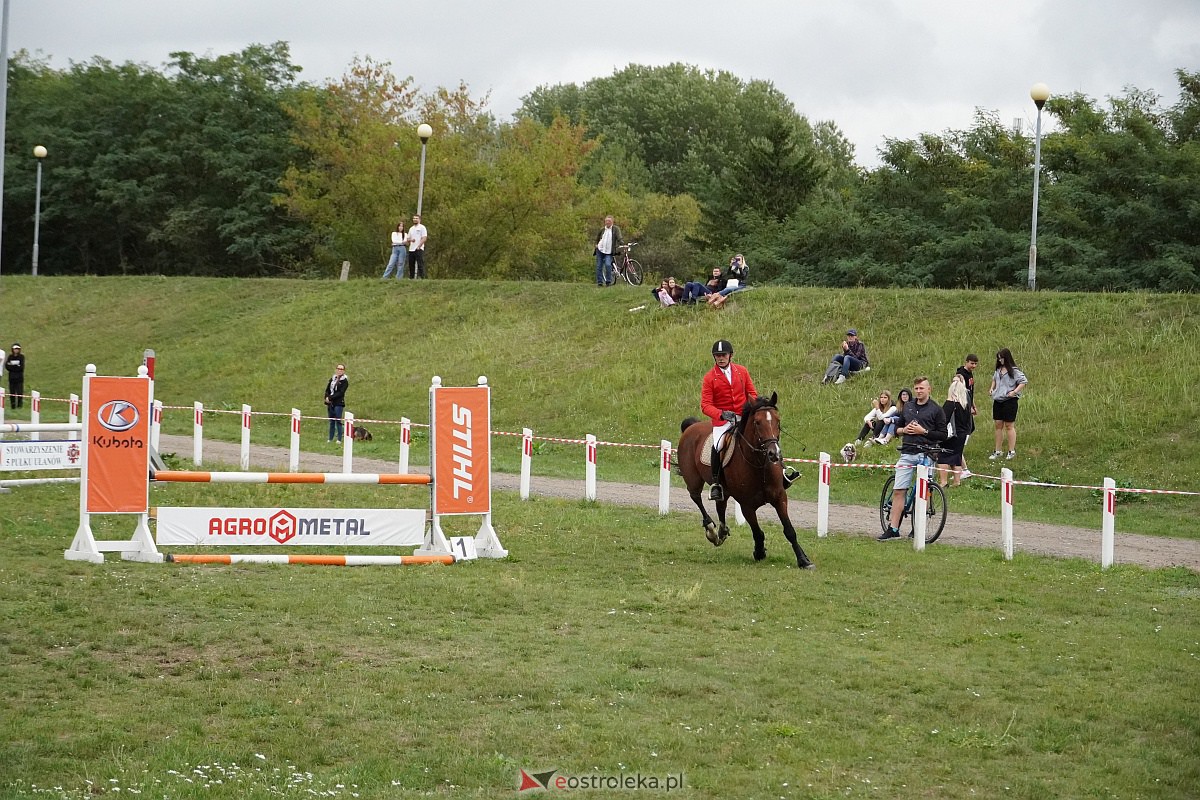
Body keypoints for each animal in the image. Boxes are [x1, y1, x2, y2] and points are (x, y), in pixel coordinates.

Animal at [676, 393, 816, 568]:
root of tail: (691, 427)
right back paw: (711, 530)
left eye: (778, 421)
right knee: (696, 498)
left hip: (724, 489)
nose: (774, 454)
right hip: (693, 480)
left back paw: (721, 531)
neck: (759, 465)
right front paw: (759, 552)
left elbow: (789, 530)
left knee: (720, 504)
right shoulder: (746, 505)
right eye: (757, 422)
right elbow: (757, 532)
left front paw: (803, 560)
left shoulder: (780, 497)